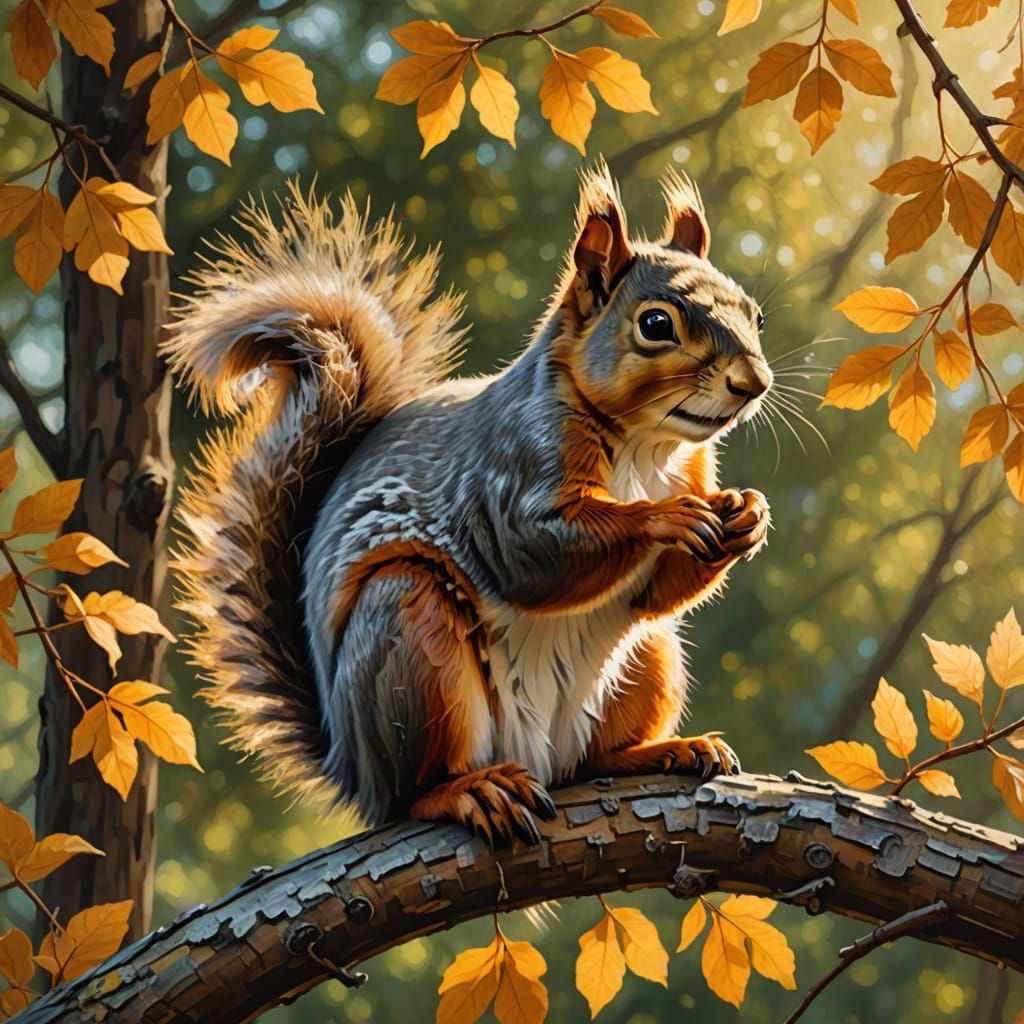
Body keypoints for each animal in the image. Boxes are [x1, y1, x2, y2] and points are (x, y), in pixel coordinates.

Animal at [164, 163, 772, 844]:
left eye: (753, 314)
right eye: (656, 325)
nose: (753, 383)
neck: (647, 447)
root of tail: (353, 768)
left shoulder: (689, 475)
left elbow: (651, 594)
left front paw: (747, 514)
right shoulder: (507, 473)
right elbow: (538, 555)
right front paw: (669, 518)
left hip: (647, 660)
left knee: (595, 755)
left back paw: (663, 750)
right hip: (410, 645)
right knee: (415, 790)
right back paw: (469, 790)